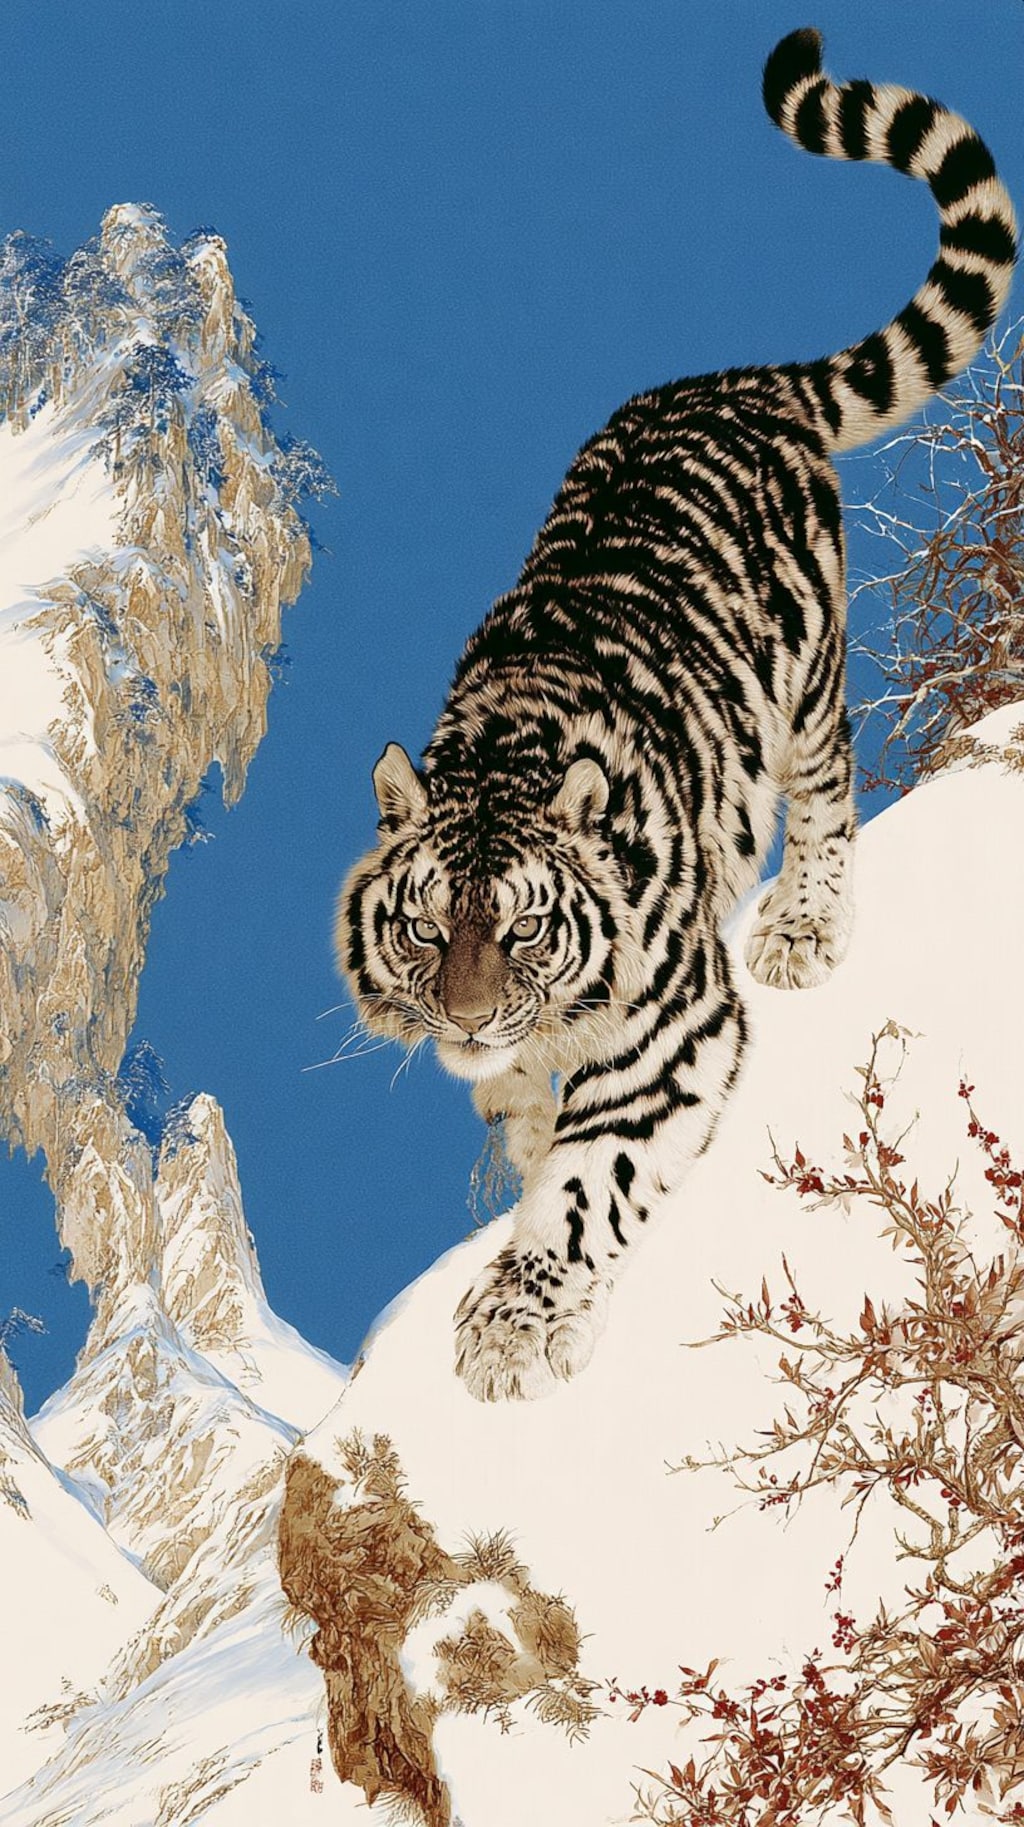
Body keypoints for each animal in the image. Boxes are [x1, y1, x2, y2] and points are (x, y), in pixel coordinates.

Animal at [336, 28, 1017, 1402]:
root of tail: (729, 379)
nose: (467, 1020)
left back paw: (801, 925)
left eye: (524, 930)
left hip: (802, 682)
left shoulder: (667, 1038)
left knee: (827, 788)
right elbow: (535, 1139)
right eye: (426, 927)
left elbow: (584, 1181)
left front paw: (510, 1330)